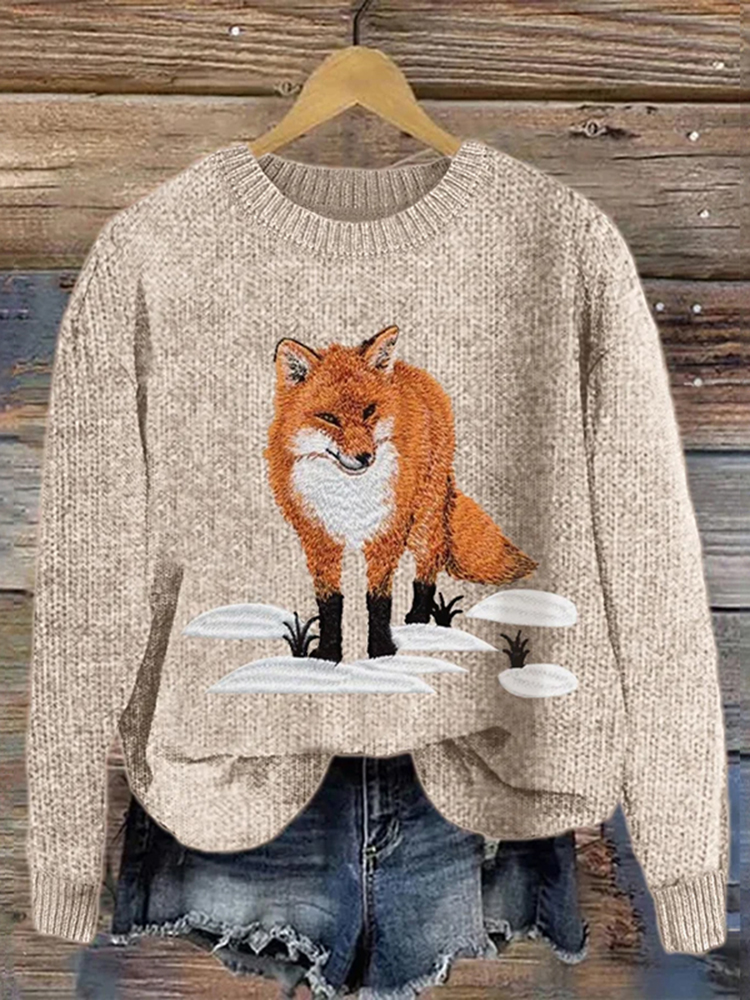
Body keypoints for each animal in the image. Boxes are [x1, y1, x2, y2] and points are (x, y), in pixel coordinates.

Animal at [265, 324, 538, 662]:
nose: (365, 457)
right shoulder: (318, 539)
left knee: (430, 563)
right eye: (328, 418)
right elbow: (330, 602)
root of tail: (411, 372)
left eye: (369, 411)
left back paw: (420, 621)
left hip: (423, 521)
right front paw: (328, 654)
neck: (347, 496)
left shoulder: (388, 533)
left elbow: (379, 600)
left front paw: (381, 651)